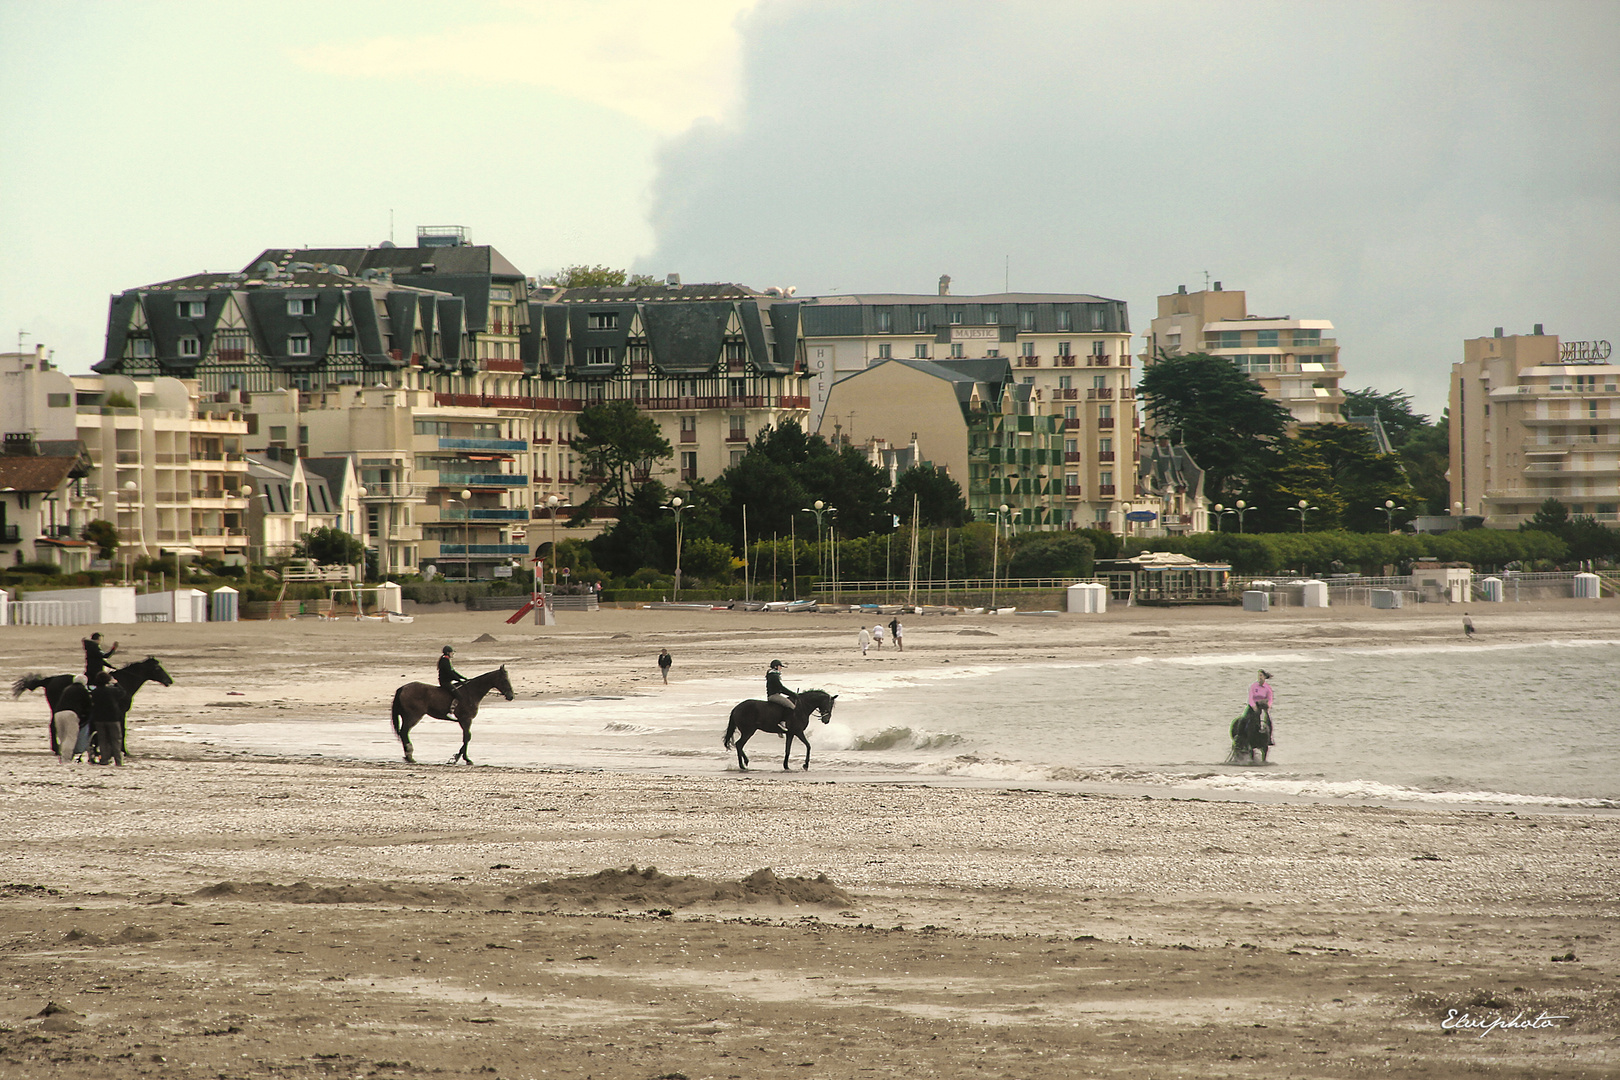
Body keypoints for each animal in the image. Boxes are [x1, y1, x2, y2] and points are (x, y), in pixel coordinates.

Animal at [12, 654, 174, 757]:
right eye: (158, 668)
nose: (169, 681)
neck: (122, 683)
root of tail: (50, 680)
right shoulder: (120, 712)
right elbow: (122, 730)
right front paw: (124, 751)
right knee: (52, 726)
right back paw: (57, 749)